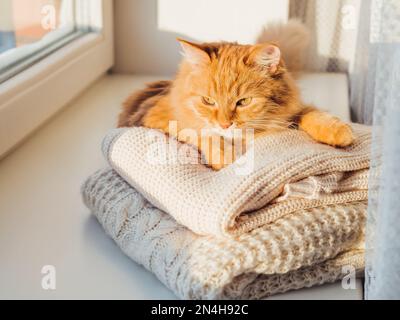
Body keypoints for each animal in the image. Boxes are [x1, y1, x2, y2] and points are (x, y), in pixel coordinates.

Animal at [118, 23, 354, 171]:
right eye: (208, 101)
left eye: (244, 102)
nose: (225, 125)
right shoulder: (159, 117)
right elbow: (203, 133)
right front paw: (225, 157)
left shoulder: (292, 110)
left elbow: (313, 114)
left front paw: (339, 132)